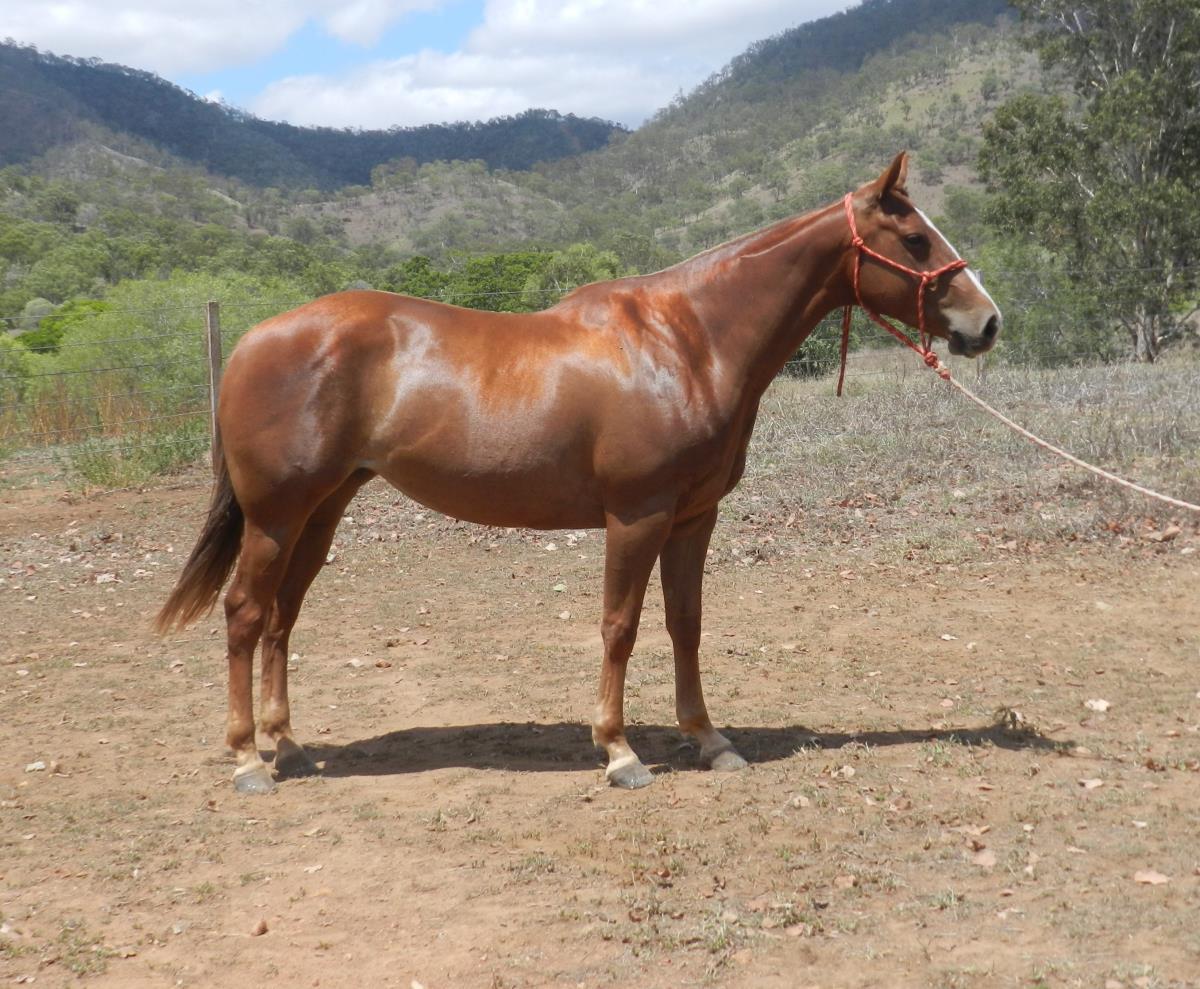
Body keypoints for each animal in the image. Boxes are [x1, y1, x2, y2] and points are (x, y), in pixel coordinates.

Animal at [157, 152, 1001, 794]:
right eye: (915, 238)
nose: (987, 322)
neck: (687, 340)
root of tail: (252, 340)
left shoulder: (693, 517)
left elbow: (686, 622)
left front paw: (709, 738)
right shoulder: (636, 514)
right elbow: (620, 626)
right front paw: (620, 751)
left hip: (321, 510)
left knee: (282, 616)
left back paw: (290, 747)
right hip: (275, 515)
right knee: (245, 613)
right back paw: (248, 760)